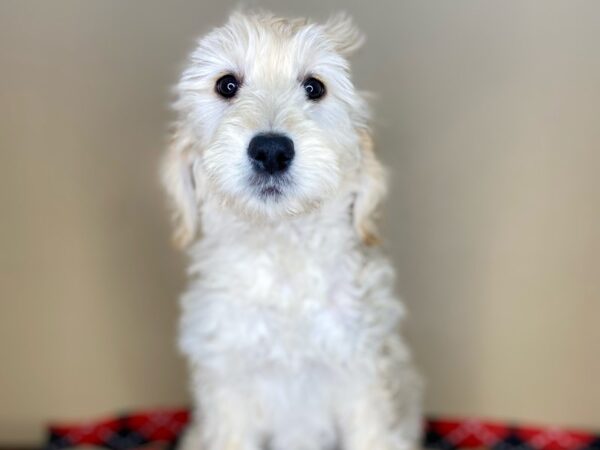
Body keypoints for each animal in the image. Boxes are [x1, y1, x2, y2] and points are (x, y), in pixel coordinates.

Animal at [162, 9, 420, 450]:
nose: (270, 150)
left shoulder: (363, 377)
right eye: (226, 85)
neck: (282, 252)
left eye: (314, 87)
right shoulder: (229, 385)